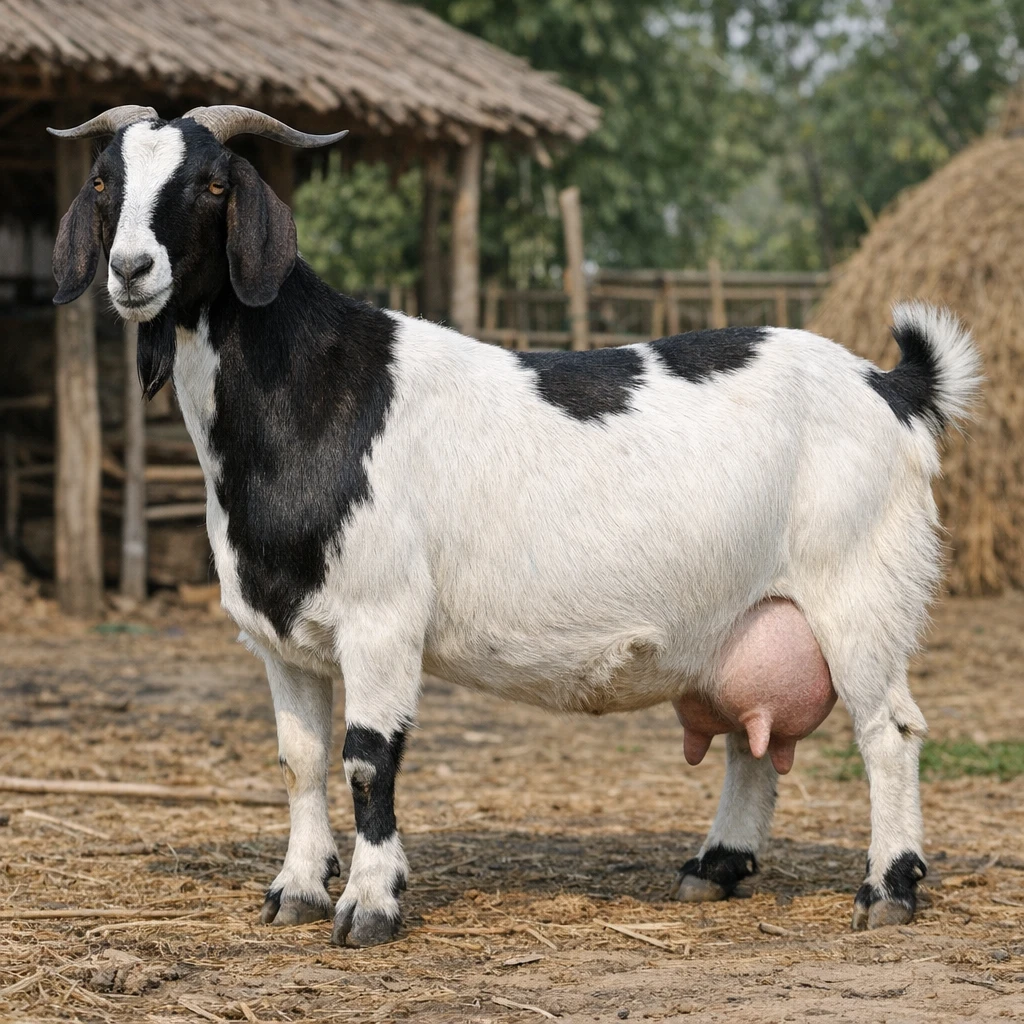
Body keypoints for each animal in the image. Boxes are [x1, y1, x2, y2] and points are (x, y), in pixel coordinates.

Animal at [50, 105, 981, 946]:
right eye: (103, 181)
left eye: (212, 184)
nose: (131, 269)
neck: (314, 397)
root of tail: (892, 387)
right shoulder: (277, 634)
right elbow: (299, 758)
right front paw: (297, 890)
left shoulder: (382, 617)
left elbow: (367, 758)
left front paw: (370, 906)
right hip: (748, 615)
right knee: (754, 740)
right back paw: (713, 869)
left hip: (861, 587)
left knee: (889, 731)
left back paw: (887, 890)